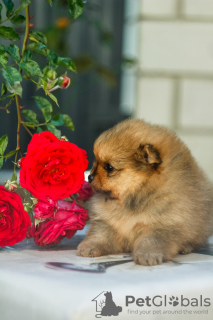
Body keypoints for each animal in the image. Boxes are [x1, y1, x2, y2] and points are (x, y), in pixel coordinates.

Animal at [77, 119, 213, 266]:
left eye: (109, 167)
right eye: (95, 161)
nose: (89, 177)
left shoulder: (161, 225)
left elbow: (151, 241)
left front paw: (147, 255)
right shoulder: (107, 221)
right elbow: (100, 235)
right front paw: (89, 246)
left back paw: (186, 247)